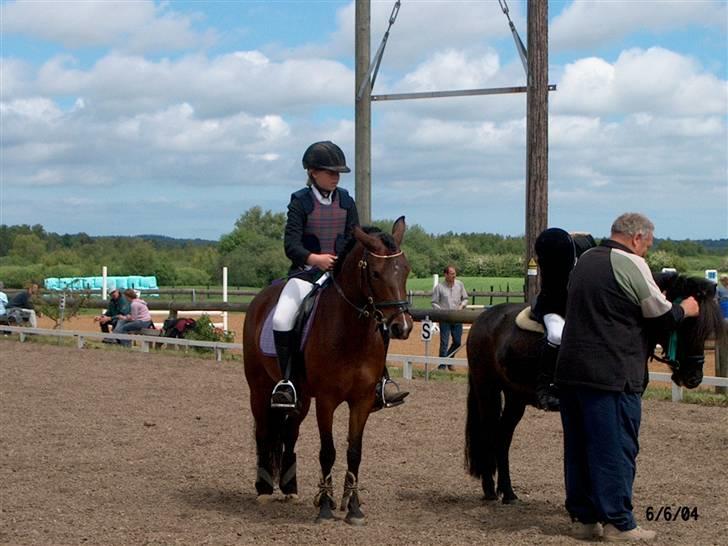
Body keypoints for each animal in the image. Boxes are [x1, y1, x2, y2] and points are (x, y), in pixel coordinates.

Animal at [243, 215, 412, 520]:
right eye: (375, 274)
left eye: (405, 270)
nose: (401, 327)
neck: (351, 333)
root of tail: (262, 298)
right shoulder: (326, 400)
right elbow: (327, 451)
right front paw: (324, 506)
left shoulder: (361, 400)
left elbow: (354, 452)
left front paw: (353, 507)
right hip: (259, 388)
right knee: (263, 432)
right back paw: (264, 490)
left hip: (301, 398)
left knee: (290, 433)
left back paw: (289, 488)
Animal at [464, 272, 724, 502]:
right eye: (686, 325)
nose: (694, 378)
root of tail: (484, 319)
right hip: (487, 389)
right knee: (489, 432)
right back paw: (489, 490)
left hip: (515, 397)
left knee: (503, 437)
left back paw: (508, 493)